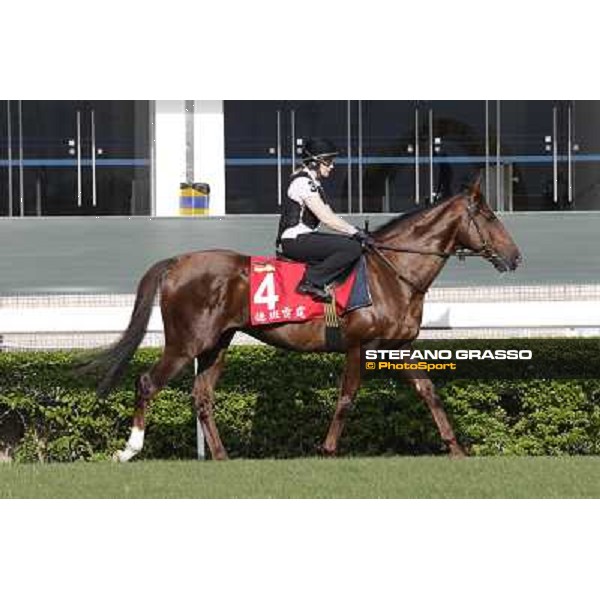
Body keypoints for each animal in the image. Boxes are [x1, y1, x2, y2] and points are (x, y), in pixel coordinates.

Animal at [79, 177, 520, 460]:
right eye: (491, 218)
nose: (515, 257)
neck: (392, 273)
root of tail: (176, 262)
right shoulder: (359, 346)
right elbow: (346, 399)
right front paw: (327, 449)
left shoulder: (397, 347)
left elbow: (429, 393)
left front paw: (456, 448)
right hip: (187, 343)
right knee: (148, 383)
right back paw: (129, 450)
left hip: (216, 344)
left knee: (202, 396)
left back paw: (221, 456)